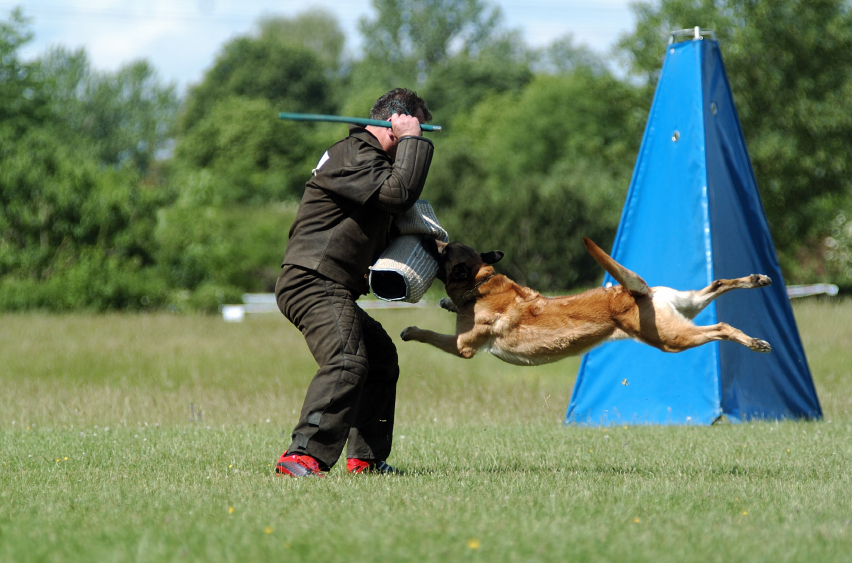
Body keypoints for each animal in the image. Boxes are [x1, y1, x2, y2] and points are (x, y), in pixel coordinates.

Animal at [400, 237, 772, 366]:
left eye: (443, 251)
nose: (428, 239)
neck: (482, 281)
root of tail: (635, 291)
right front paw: (447, 303)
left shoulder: (463, 345)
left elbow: (430, 335)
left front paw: (411, 330)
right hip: (682, 309)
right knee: (718, 284)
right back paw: (756, 279)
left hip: (670, 338)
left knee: (721, 327)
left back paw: (755, 342)